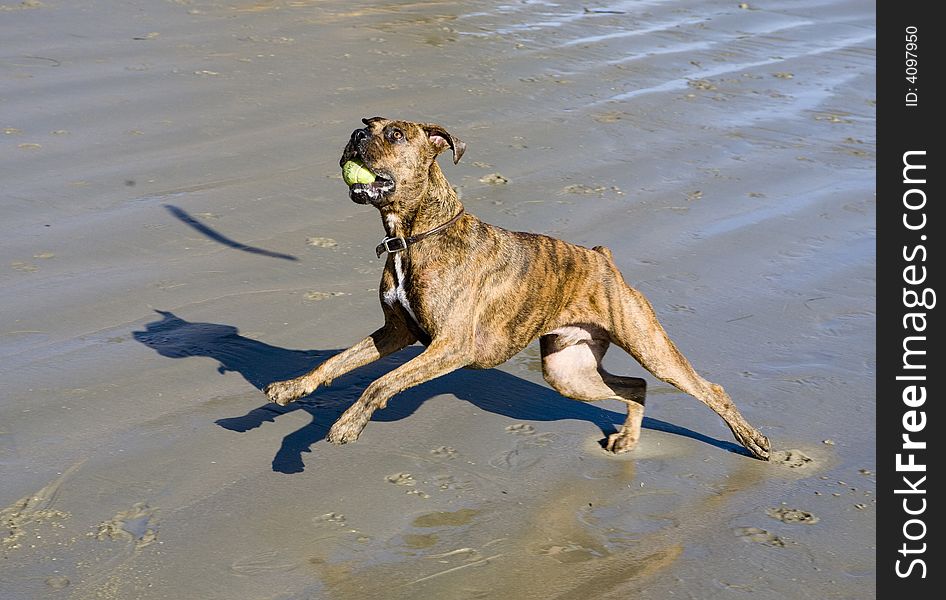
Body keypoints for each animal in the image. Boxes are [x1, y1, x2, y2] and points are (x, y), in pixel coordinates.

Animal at [262, 119, 772, 462]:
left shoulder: (449, 347)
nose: (355, 134)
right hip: (567, 371)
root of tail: (602, 257)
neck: (414, 234)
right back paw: (627, 437)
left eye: (396, 135)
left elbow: (378, 382)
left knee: (706, 388)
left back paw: (754, 442)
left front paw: (347, 425)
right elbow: (336, 362)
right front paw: (292, 387)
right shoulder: (396, 334)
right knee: (635, 387)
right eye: (367, 124)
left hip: (649, 346)